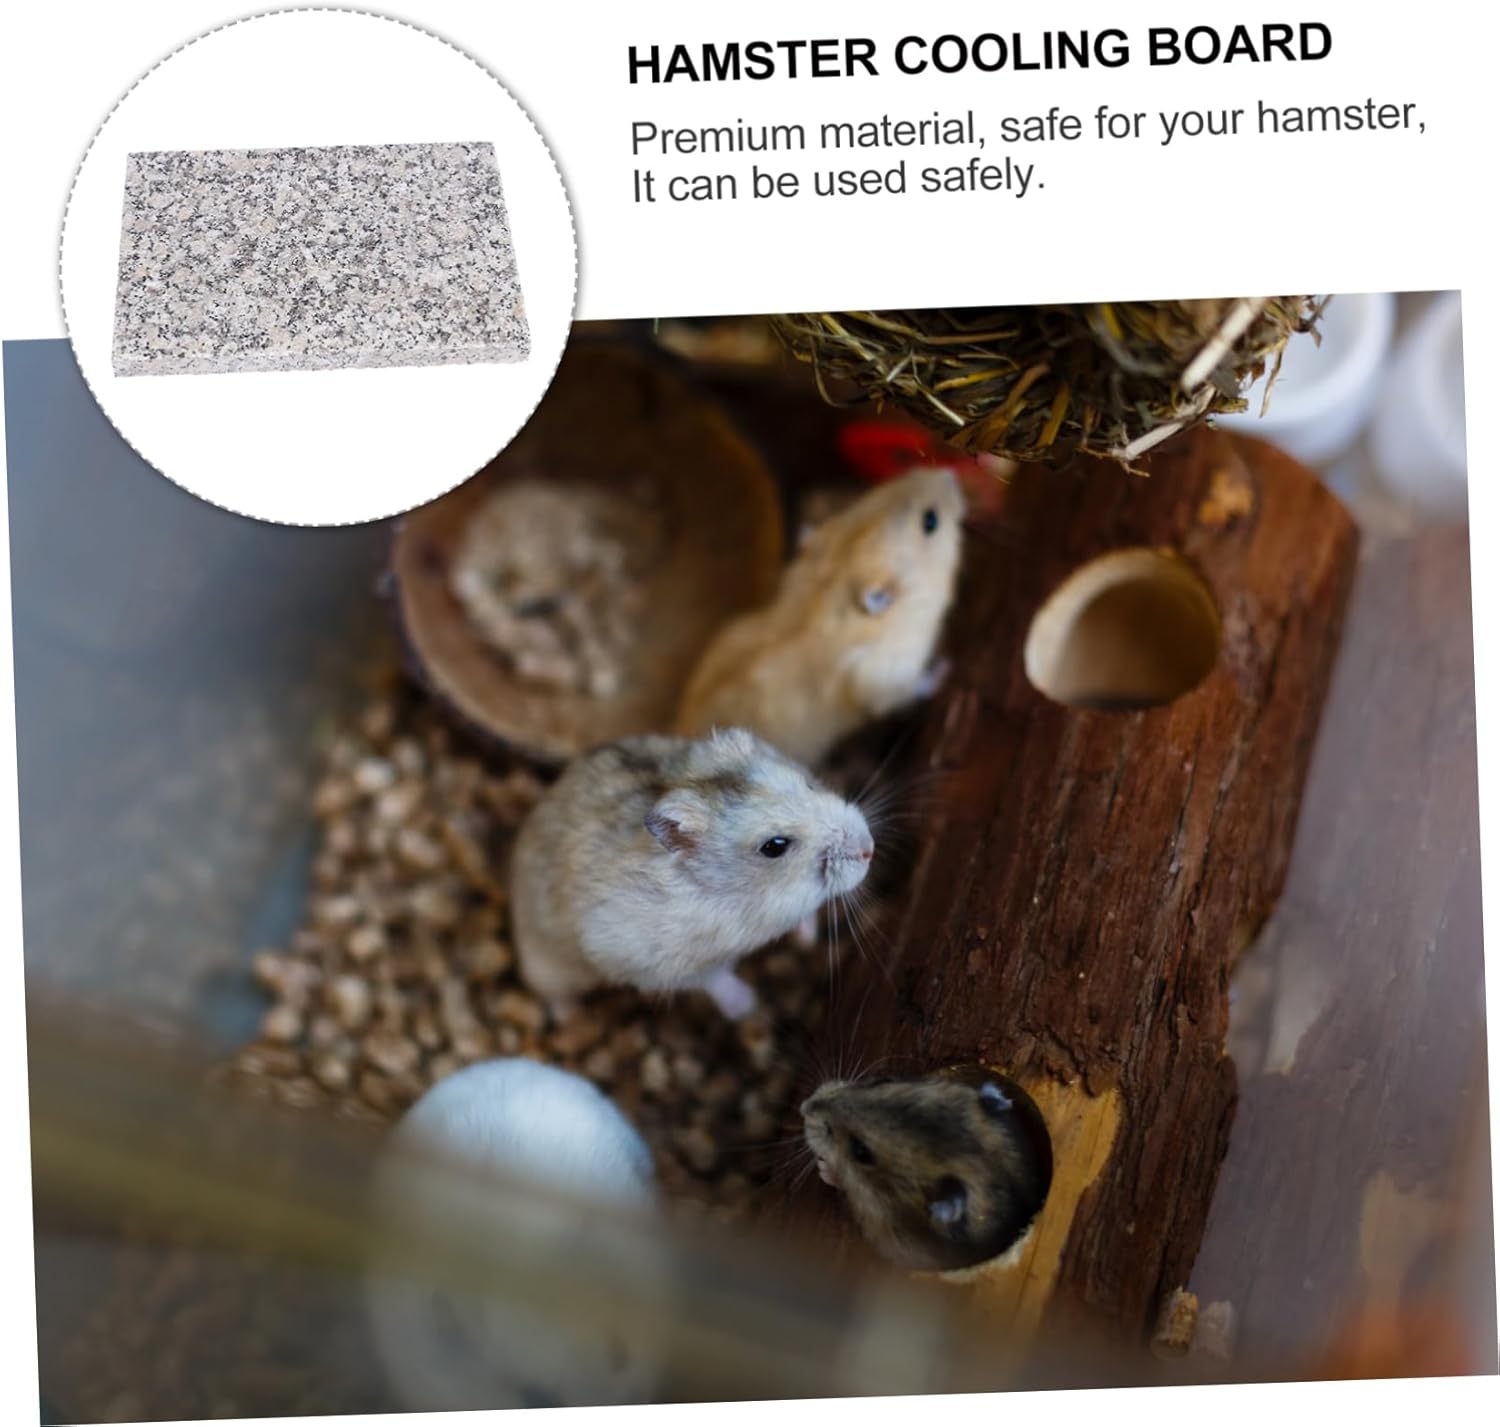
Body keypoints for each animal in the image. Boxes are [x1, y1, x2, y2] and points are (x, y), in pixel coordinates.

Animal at [509, 726, 874, 1020]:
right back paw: (569, 1015)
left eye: (809, 785)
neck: (754, 897)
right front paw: (747, 1007)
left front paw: (807, 940)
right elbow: (712, 979)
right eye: (774, 846)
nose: (869, 849)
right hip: (548, 966)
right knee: (553, 992)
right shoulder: (649, 957)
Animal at [676, 467, 967, 767]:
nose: (950, 474)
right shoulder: (890, 675)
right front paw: (946, 668)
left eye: (877, 491)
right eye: (930, 521)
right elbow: (916, 686)